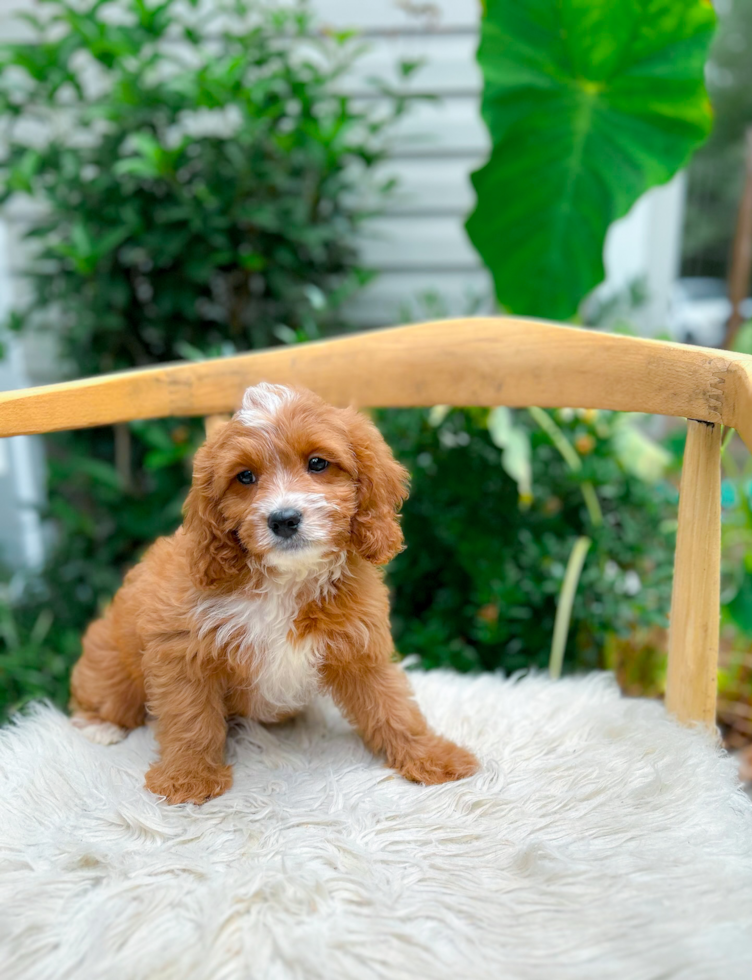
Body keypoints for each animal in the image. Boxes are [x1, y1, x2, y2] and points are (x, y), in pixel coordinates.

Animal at [69, 382, 476, 804]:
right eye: (245, 476)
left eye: (318, 464)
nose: (283, 519)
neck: (285, 578)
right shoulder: (181, 650)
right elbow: (190, 717)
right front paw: (188, 778)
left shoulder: (361, 646)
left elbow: (391, 705)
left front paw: (431, 756)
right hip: (111, 658)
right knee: (101, 694)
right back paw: (101, 726)